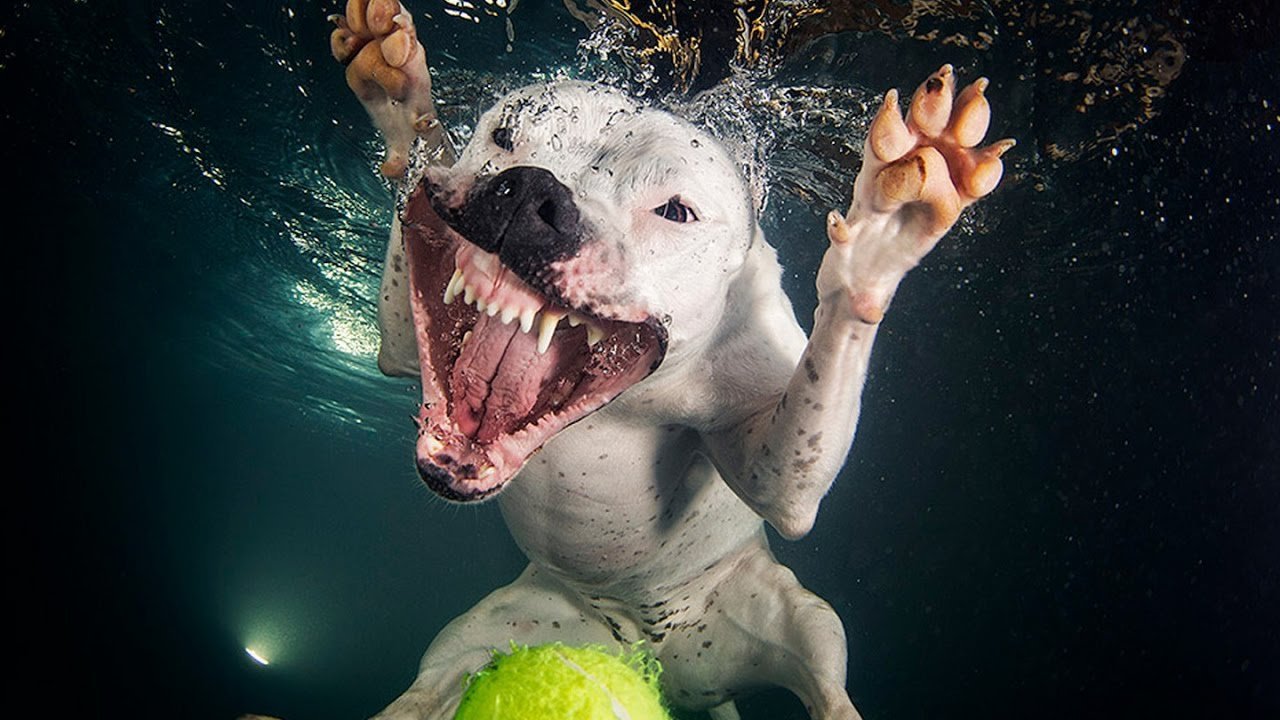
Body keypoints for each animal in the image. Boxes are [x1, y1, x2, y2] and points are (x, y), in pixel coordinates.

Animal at [330, 2, 1008, 712]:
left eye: (675, 211)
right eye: (505, 135)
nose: (533, 190)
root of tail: (654, 656)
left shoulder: (771, 452)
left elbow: (785, 485)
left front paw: (886, 228)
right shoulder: (402, 348)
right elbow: (400, 337)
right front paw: (400, 101)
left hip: (800, 621)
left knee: (825, 679)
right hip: (485, 636)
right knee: (431, 683)